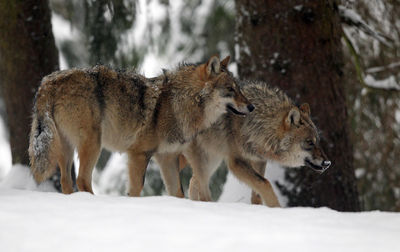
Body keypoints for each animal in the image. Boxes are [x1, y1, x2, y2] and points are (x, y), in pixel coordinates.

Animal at [29, 56, 253, 196]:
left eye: (239, 88)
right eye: (230, 89)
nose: (251, 107)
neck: (178, 103)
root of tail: (48, 82)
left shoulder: (168, 158)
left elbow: (178, 192)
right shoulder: (139, 154)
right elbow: (137, 189)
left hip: (65, 147)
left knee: (66, 181)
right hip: (93, 144)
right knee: (82, 180)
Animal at [156, 80, 332, 207]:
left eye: (318, 141)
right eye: (309, 142)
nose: (328, 163)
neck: (257, 124)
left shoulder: (259, 160)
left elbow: (257, 193)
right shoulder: (236, 162)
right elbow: (265, 184)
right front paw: (277, 209)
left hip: (211, 160)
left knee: (193, 182)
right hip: (199, 160)